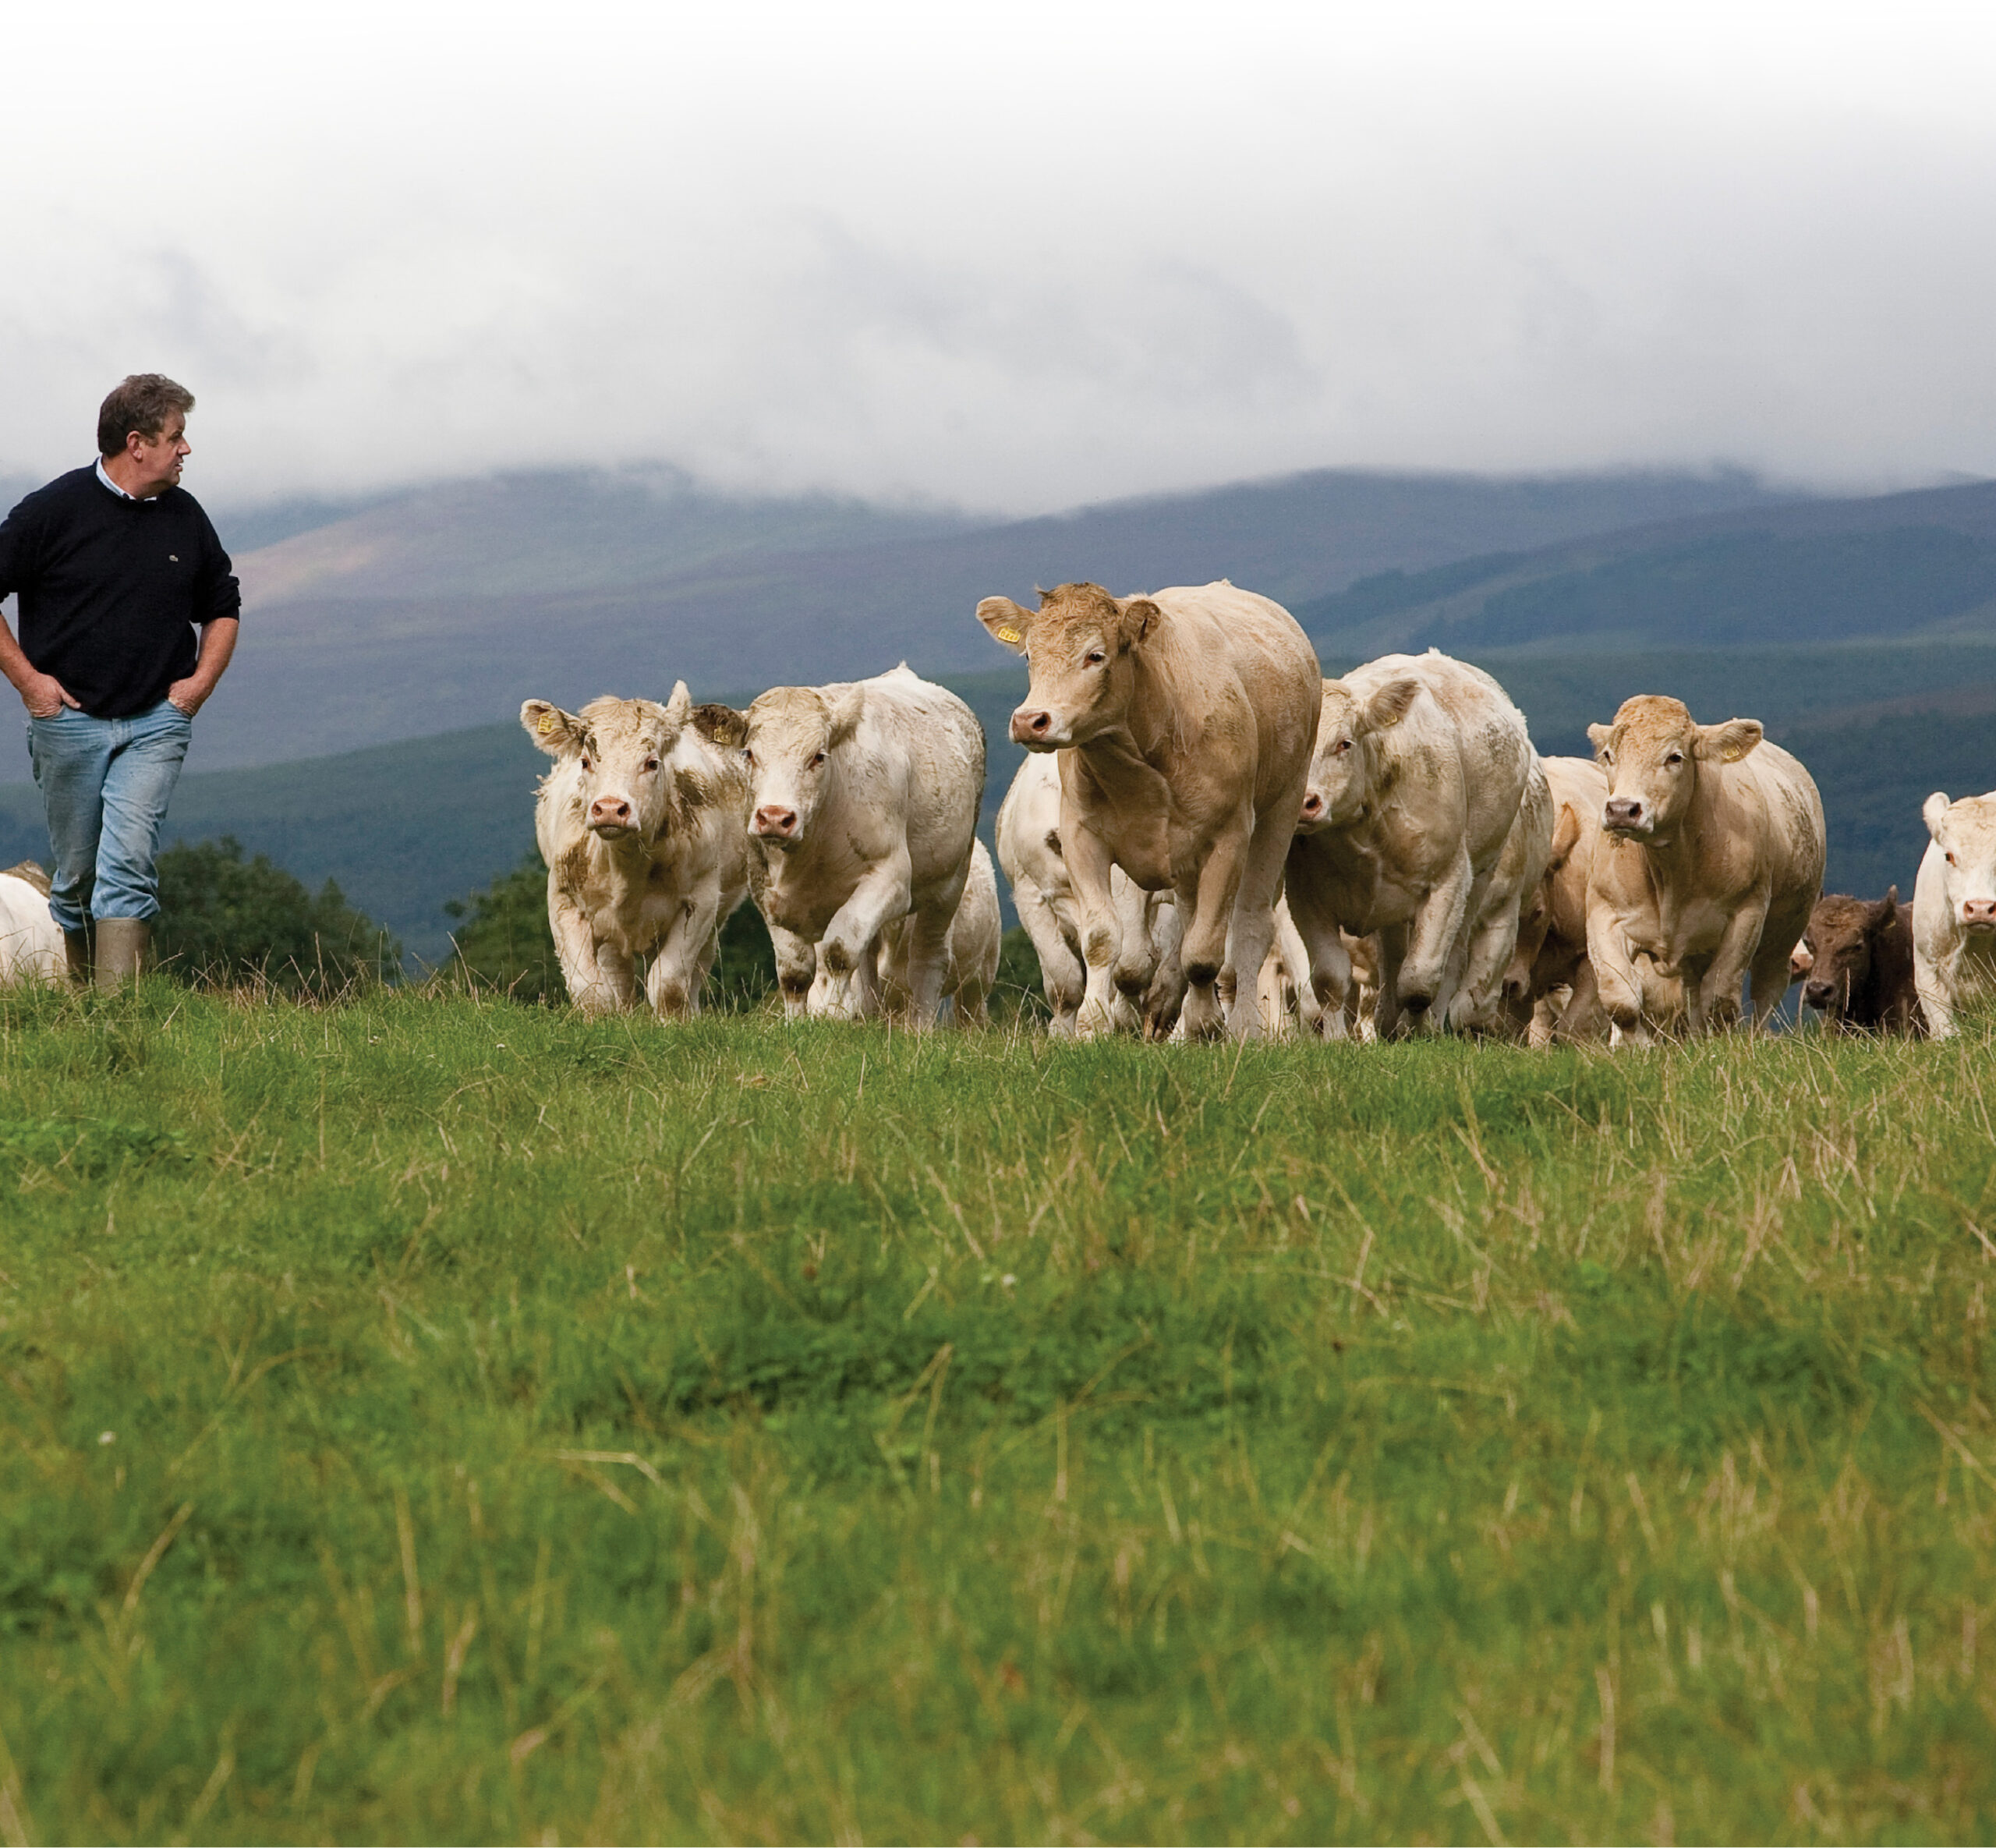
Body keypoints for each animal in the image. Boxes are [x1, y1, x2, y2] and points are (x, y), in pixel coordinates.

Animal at [518, 686, 750, 1021]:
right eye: (586, 762)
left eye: (652, 763)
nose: (610, 809)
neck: (626, 866)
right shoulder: (563, 899)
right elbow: (589, 989)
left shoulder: (701, 901)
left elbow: (668, 983)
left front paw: (676, 1024)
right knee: (618, 976)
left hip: (717, 916)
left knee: (697, 970)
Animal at [1588, 698, 1828, 1037]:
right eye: (1609, 755)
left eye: (1675, 757)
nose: (1622, 809)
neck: (1669, 873)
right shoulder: (1604, 915)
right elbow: (1620, 1001)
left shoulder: (1746, 917)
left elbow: (1721, 1001)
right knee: (1693, 994)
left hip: (1785, 934)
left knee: (1766, 990)